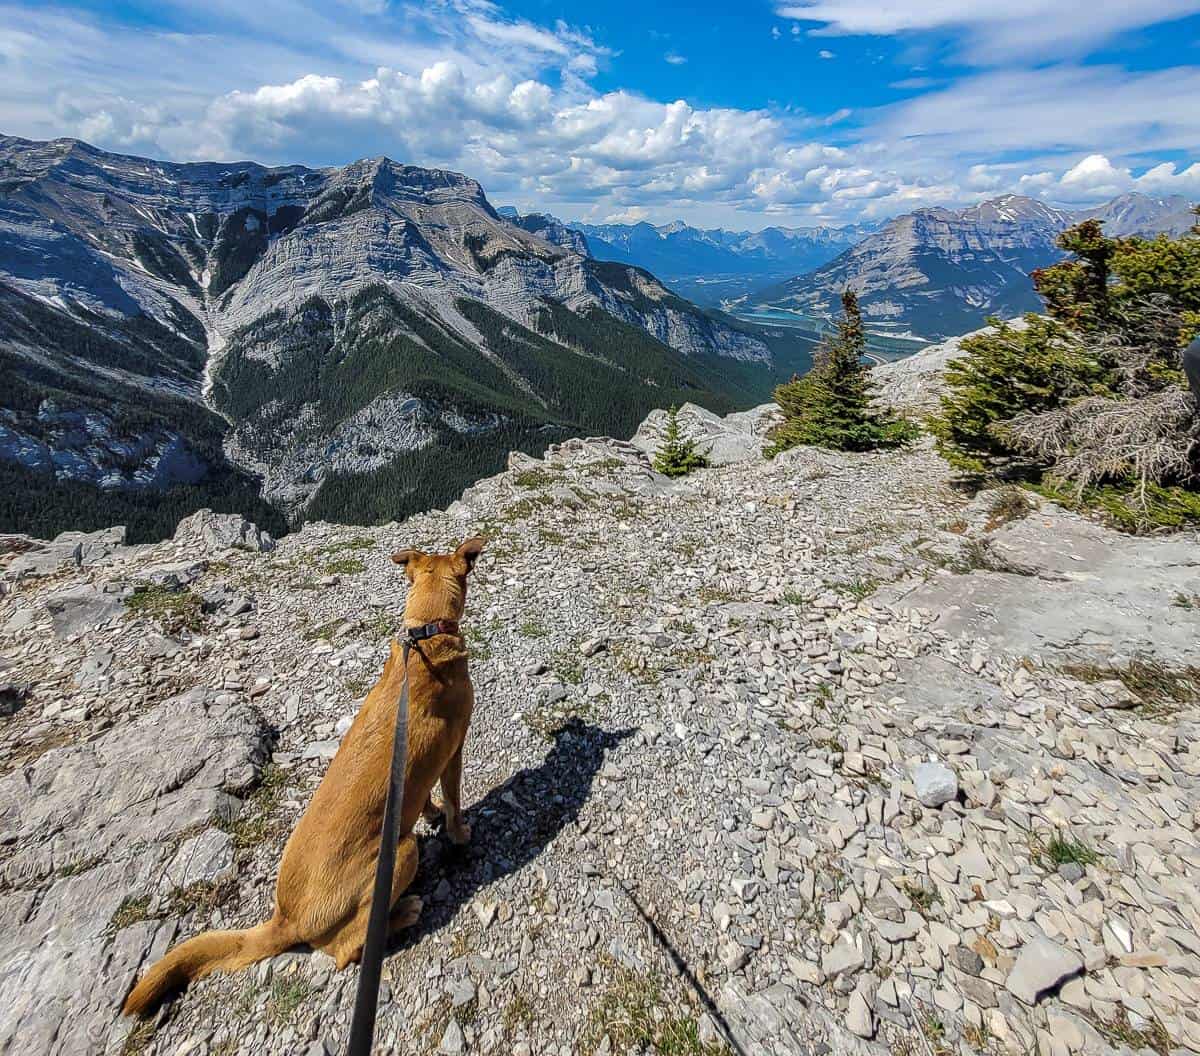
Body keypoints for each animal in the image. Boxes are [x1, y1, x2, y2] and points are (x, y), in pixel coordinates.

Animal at [124, 535, 489, 1012]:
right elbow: (454, 802)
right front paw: (460, 833)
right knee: (346, 951)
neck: (426, 633)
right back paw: (403, 914)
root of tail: (288, 918)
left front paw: (429, 813)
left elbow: (423, 797)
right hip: (401, 852)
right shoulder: (454, 751)